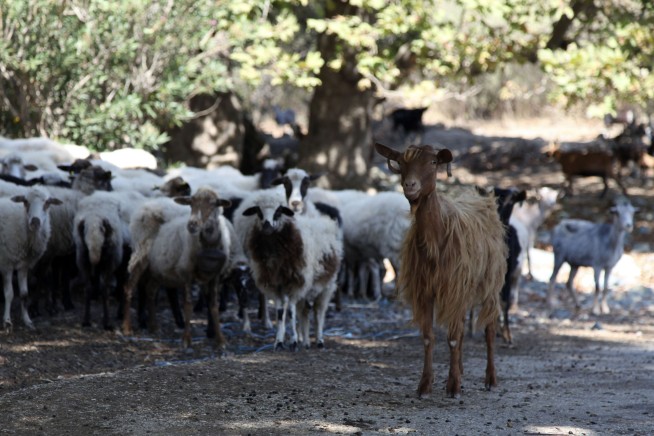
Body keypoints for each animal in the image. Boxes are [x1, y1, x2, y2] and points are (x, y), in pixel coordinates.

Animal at [375, 142, 507, 398]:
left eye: (433, 162)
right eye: (401, 163)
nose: (410, 186)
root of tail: (483, 200)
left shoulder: (453, 287)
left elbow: (453, 338)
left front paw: (453, 386)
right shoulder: (425, 290)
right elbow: (429, 337)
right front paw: (425, 385)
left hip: (490, 284)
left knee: (489, 329)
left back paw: (491, 379)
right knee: (464, 328)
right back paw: (462, 370)